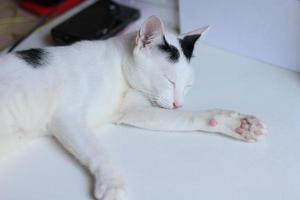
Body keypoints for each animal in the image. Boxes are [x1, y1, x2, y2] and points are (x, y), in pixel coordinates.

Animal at [0, 16, 268, 200]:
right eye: (169, 81)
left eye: (188, 86)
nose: (178, 103)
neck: (117, 69)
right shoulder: (66, 117)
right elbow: (98, 151)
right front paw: (112, 183)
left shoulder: (132, 110)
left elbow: (187, 118)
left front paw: (235, 123)